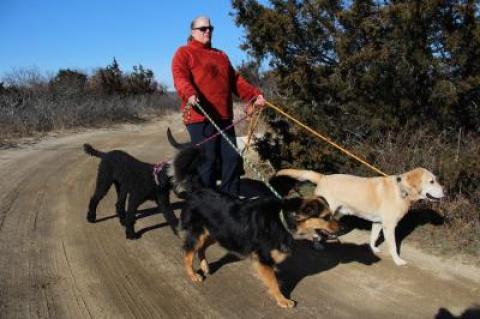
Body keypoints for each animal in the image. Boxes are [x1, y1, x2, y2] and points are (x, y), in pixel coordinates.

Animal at [174, 147, 340, 308]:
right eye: (326, 217)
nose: (341, 228)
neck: (282, 218)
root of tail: (198, 189)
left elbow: (274, 279)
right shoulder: (263, 259)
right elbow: (273, 281)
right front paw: (282, 300)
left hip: (219, 233)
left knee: (201, 248)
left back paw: (205, 266)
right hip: (199, 233)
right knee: (188, 253)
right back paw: (192, 274)